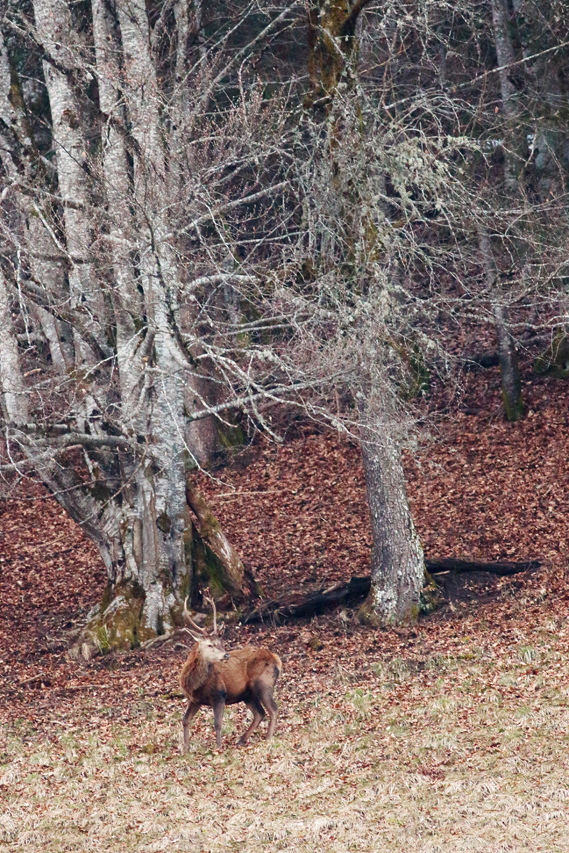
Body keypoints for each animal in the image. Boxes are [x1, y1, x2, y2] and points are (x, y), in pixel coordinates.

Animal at [180, 596, 282, 748]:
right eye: (210, 644)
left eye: (220, 642)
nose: (226, 655)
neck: (195, 685)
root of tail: (275, 658)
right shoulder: (195, 700)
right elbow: (185, 720)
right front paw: (186, 748)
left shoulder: (219, 694)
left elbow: (217, 724)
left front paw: (218, 747)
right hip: (248, 694)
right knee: (260, 713)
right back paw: (241, 740)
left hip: (264, 683)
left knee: (273, 710)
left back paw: (267, 738)